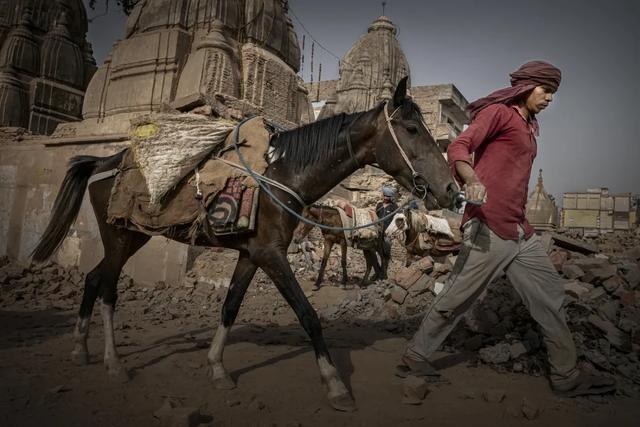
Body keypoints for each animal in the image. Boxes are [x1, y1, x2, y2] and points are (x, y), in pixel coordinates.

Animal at [31, 77, 460, 414]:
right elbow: (308, 314)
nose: (451, 191)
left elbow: (231, 306)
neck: (284, 175)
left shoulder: (252, 254)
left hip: (131, 236)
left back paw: (81, 349)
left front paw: (218, 368)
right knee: (107, 288)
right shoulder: (272, 255)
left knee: (92, 278)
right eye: (411, 128)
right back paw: (114, 363)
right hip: (121, 235)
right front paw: (335, 385)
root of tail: (105, 161)